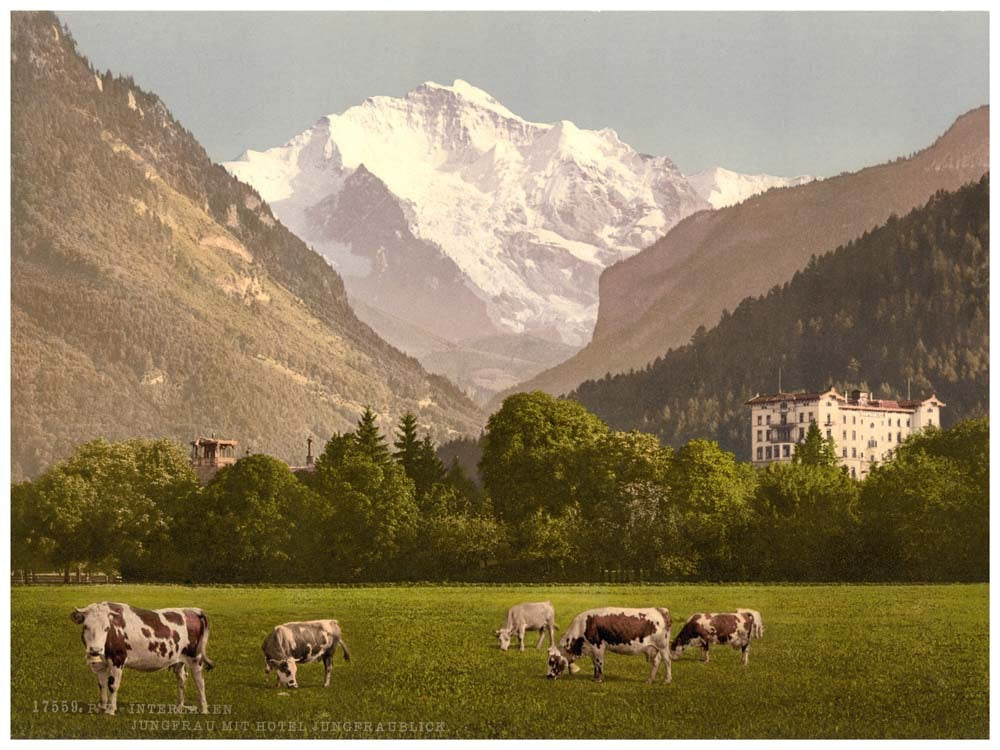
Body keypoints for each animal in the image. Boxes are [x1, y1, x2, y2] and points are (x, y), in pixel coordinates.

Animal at [70, 604, 215, 716]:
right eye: (86, 626)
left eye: (107, 628)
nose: (95, 649)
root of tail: (192, 610)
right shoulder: (101, 664)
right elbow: (102, 685)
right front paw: (101, 707)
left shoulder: (118, 659)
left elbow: (113, 685)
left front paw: (111, 710)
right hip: (179, 660)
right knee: (182, 679)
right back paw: (179, 707)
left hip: (195, 657)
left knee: (200, 682)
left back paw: (204, 709)